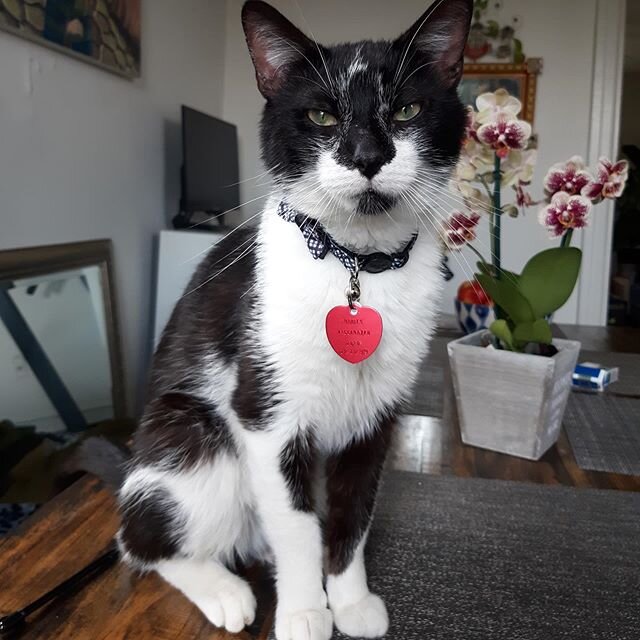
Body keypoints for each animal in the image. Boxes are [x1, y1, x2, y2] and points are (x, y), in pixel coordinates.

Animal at [117, 2, 472, 636]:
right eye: (320, 115)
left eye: (407, 108)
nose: (366, 156)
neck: (358, 264)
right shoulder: (267, 416)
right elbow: (300, 529)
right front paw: (307, 611)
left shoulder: (376, 421)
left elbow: (352, 515)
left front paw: (350, 601)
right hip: (193, 438)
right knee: (141, 540)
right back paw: (223, 589)